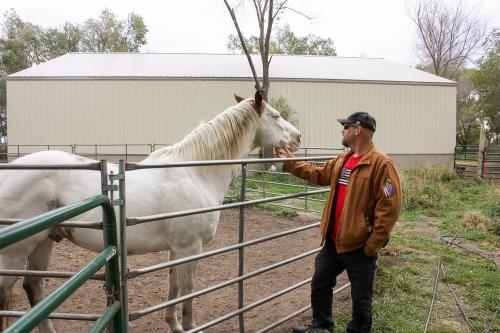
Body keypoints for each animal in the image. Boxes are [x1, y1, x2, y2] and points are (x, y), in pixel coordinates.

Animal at [0, 91, 300, 332]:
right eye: (276, 116)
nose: (297, 137)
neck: (194, 172)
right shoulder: (191, 248)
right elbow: (188, 291)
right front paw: (189, 326)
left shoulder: (177, 249)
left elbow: (173, 285)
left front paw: (173, 325)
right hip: (15, 252)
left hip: (44, 242)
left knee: (35, 289)